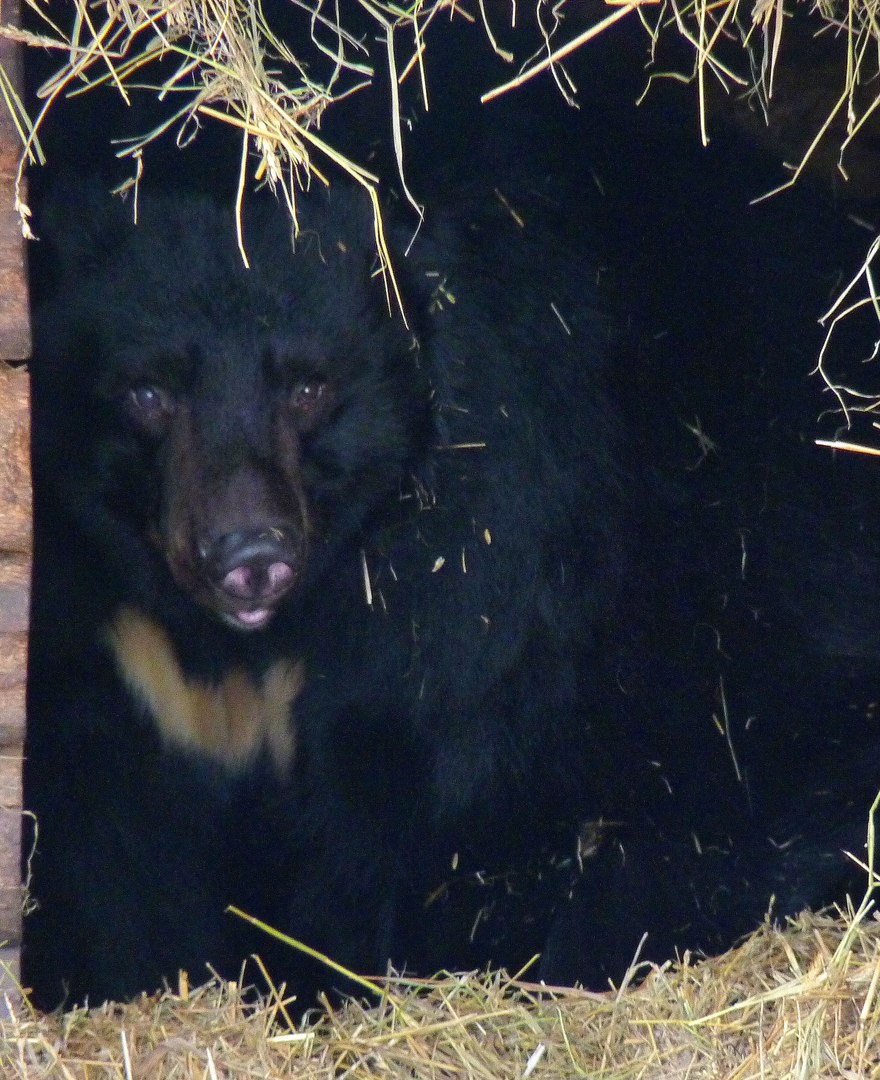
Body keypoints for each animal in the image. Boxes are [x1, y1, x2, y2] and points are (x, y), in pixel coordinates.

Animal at [22, 177, 868, 1010]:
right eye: (146, 394)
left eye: (308, 386)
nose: (251, 556)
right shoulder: (111, 646)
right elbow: (111, 840)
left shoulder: (471, 569)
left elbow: (394, 805)